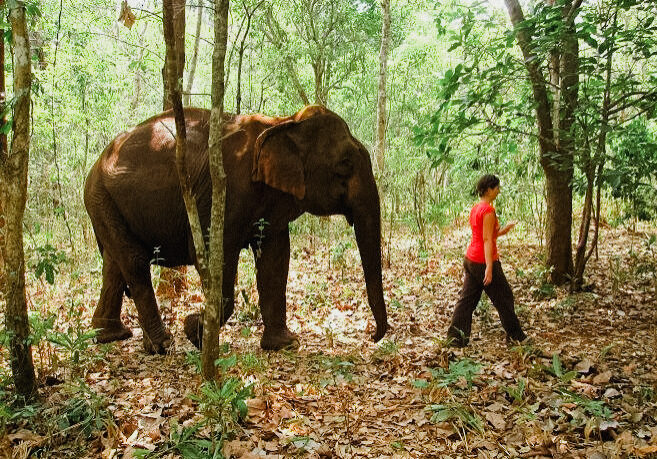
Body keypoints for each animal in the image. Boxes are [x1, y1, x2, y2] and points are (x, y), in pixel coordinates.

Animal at [84, 106, 386, 354]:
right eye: (345, 163)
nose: (373, 337)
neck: (283, 122)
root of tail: (97, 162)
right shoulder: (225, 192)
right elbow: (212, 254)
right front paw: (194, 331)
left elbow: (276, 260)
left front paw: (285, 344)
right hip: (101, 197)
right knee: (134, 262)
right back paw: (162, 344)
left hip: (106, 203)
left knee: (114, 265)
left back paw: (113, 336)